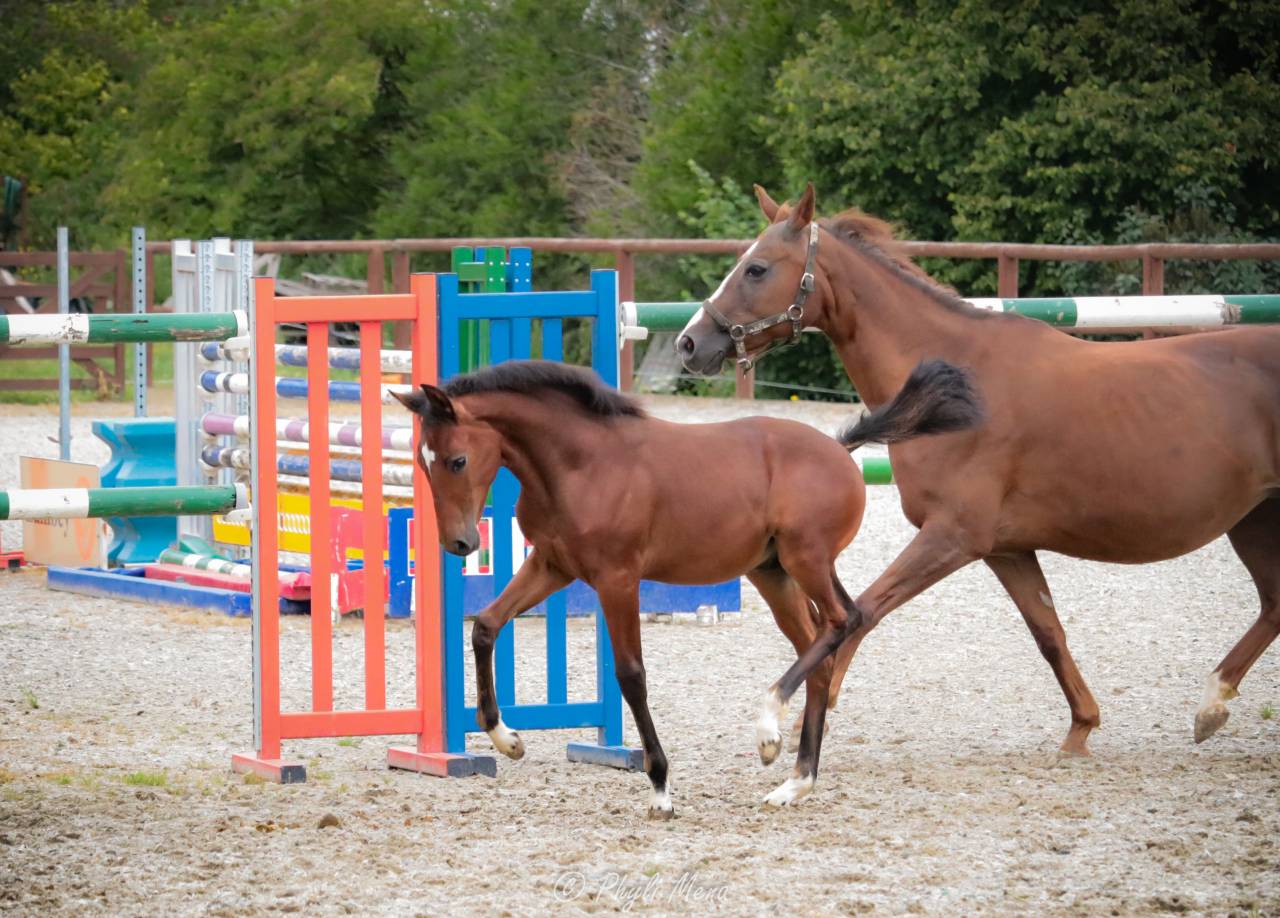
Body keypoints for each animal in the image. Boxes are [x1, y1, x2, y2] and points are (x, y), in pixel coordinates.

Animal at [392, 358, 980, 816]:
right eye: (422, 462)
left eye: (458, 460)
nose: (460, 545)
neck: (579, 465)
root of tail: (841, 449)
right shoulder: (551, 566)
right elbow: (486, 626)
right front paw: (505, 738)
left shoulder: (617, 578)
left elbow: (631, 676)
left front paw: (660, 787)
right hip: (774, 573)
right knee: (819, 642)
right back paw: (795, 782)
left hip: (805, 559)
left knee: (844, 621)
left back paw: (769, 728)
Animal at [676, 182, 1280, 761]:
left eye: (756, 268)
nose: (690, 343)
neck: (957, 385)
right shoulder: (1005, 549)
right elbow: (1048, 633)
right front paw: (1081, 729)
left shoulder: (953, 537)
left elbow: (860, 614)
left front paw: (796, 719)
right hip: (1254, 521)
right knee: (1272, 607)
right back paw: (1211, 708)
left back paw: (1211, 705)